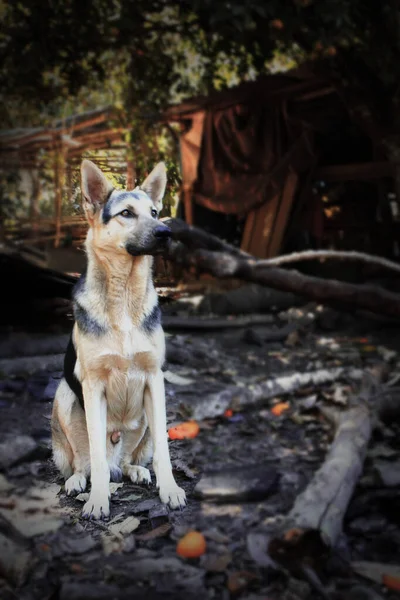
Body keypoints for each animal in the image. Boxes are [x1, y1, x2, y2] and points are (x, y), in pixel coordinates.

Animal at [51, 159, 186, 520]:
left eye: (154, 212)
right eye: (126, 213)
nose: (166, 232)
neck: (124, 295)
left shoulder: (154, 378)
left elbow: (164, 452)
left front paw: (169, 489)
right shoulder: (93, 384)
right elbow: (95, 458)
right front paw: (99, 499)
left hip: (149, 416)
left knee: (129, 460)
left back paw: (135, 470)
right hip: (64, 397)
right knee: (83, 462)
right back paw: (77, 481)